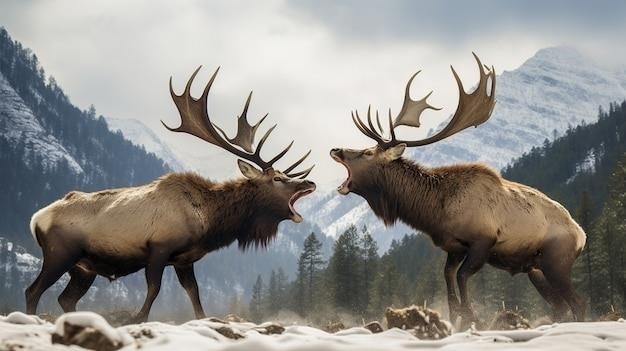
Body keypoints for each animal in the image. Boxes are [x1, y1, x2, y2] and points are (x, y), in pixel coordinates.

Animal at [26, 67, 314, 324]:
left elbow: (195, 295)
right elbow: (154, 290)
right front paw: (136, 318)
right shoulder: (158, 248)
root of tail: (35, 219)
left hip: (83, 268)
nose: (309, 182)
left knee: (66, 299)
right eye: (277, 178)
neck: (207, 221)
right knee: (33, 290)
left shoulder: (184, 260)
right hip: (59, 253)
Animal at [332, 53, 584, 326]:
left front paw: (472, 316)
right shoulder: (453, 248)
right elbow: (449, 280)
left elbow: (462, 278)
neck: (435, 211)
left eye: (367, 152)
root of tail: (581, 234)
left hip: (557, 262)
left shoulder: (483, 241)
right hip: (536, 269)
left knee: (578, 302)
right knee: (560, 305)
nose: (336, 149)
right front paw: (456, 318)